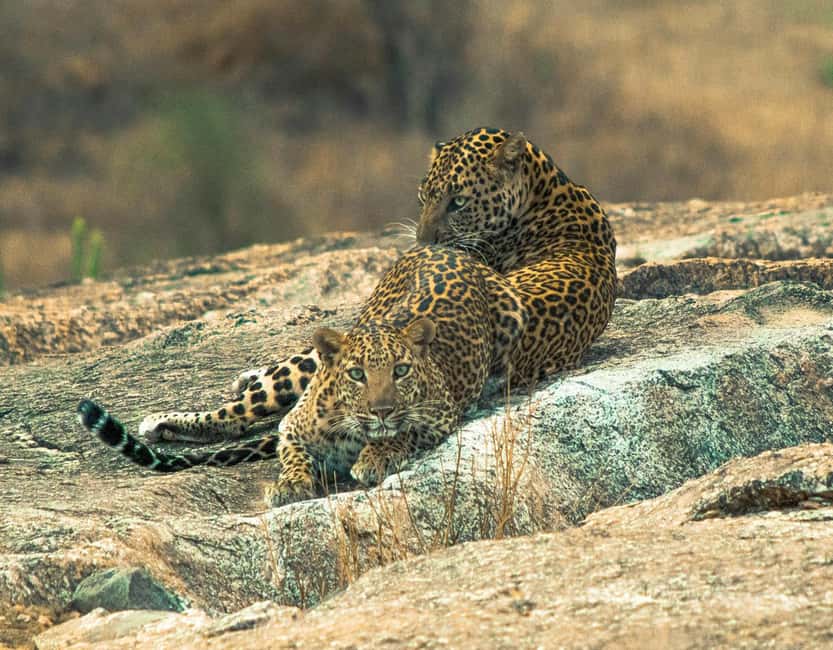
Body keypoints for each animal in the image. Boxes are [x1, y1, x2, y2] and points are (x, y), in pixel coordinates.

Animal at [78, 244, 527, 504]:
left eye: (401, 371)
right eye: (357, 374)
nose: (381, 410)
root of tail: (444, 249)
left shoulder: (440, 415)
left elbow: (402, 432)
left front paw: (375, 457)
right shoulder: (293, 428)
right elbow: (292, 453)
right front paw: (292, 483)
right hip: (301, 366)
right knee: (236, 412)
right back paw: (174, 416)